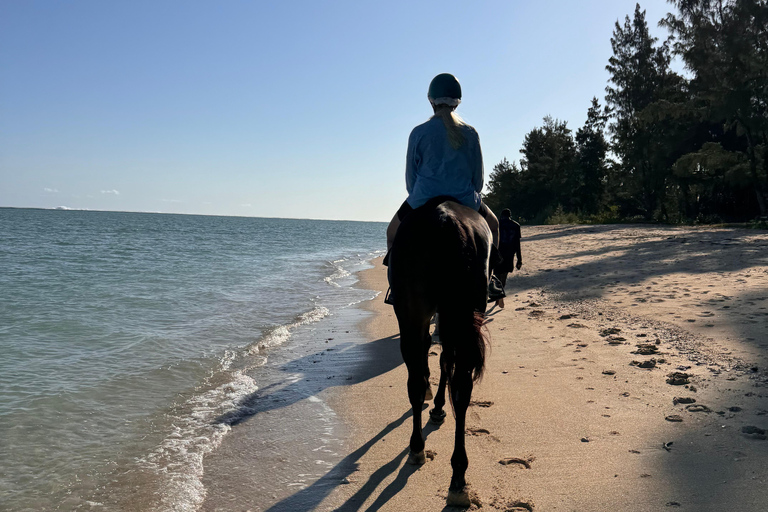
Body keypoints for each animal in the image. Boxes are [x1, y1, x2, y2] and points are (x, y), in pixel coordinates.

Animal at [388, 196, 488, 508]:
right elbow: (445, 361)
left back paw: (418, 447)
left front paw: (435, 405)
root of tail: (446, 219)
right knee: (462, 388)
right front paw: (438, 406)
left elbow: (431, 362)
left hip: (414, 313)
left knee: (417, 382)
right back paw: (458, 478)